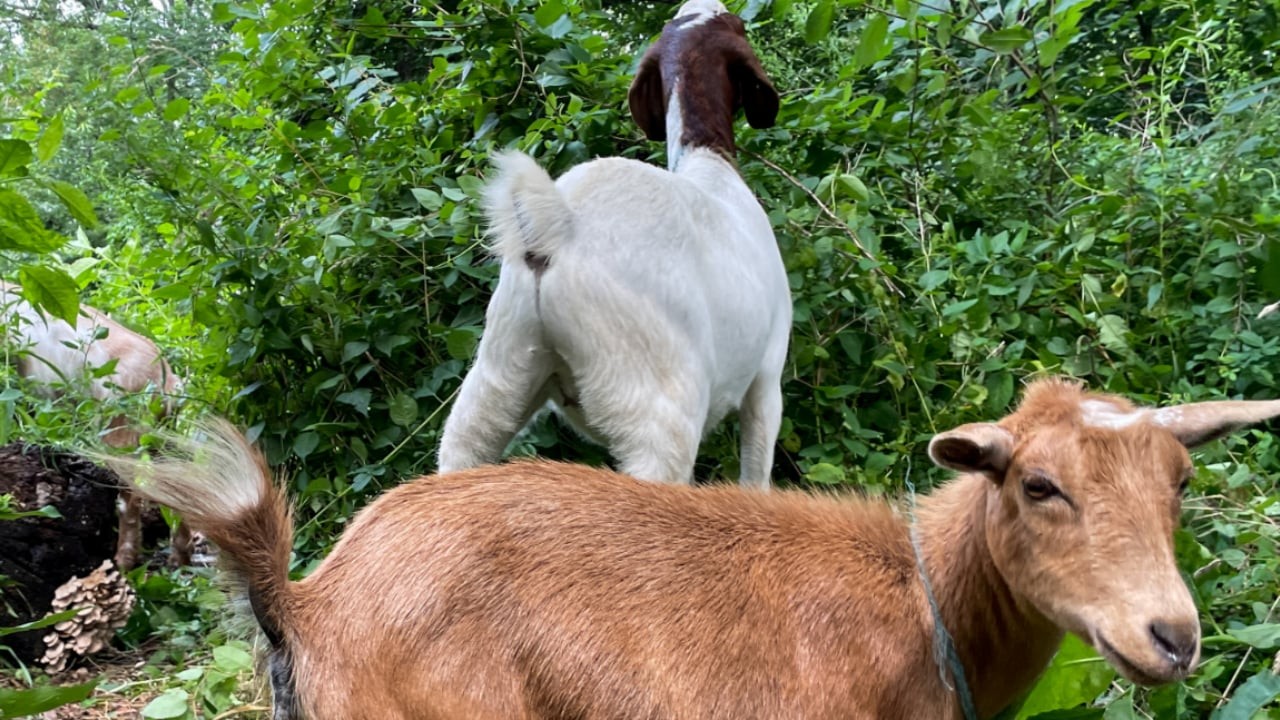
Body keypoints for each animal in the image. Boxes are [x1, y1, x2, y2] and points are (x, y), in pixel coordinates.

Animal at [0, 281, 189, 571]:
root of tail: (167, 382)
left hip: (121, 437)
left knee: (130, 498)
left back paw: (124, 561)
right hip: (161, 437)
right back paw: (181, 559)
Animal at [436, 0, 790, 488]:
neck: (708, 161)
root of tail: (559, 228)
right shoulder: (767, 377)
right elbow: (756, 476)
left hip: (494, 381)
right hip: (656, 414)